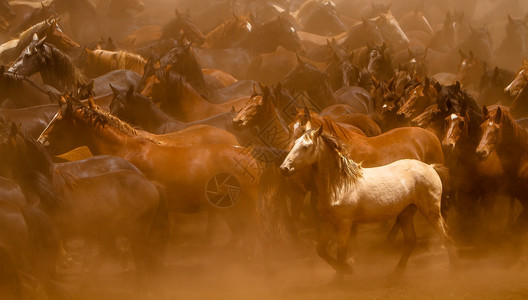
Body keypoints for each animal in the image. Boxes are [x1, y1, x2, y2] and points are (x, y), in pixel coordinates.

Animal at [278, 127, 456, 280]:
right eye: (295, 143)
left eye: (306, 146)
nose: (284, 169)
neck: (339, 184)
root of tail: (431, 167)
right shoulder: (329, 223)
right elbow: (321, 250)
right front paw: (341, 273)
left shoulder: (345, 224)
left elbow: (341, 251)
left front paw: (343, 274)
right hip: (406, 213)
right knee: (411, 241)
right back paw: (396, 273)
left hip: (431, 211)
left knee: (447, 238)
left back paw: (452, 272)